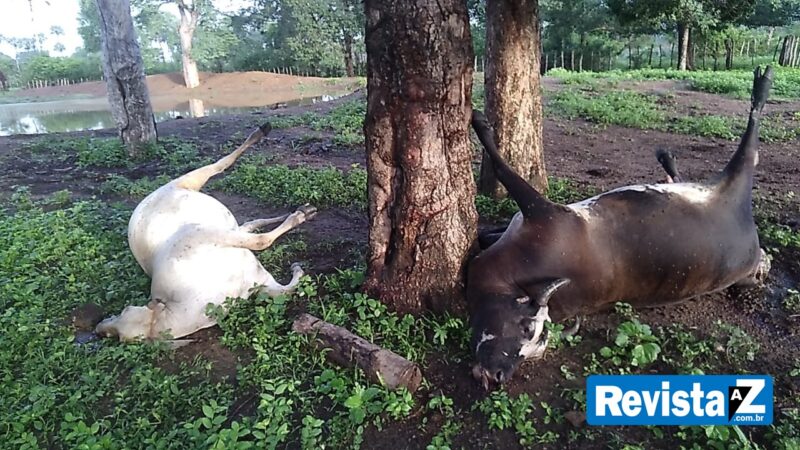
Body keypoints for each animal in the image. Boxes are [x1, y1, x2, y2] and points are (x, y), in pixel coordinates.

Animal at [96, 123, 316, 342]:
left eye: (124, 310)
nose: (99, 328)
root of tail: (141, 204)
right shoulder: (259, 280)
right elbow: (274, 264)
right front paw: (298, 261)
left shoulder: (202, 235)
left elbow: (263, 246)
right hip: (215, 216)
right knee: (248, 220)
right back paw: (298, 211)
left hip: (187, 183)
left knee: (220, 165)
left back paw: (261, 132)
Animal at [468, 65, 776, 388]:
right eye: (527, 328)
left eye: (532, 338)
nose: (498, 376)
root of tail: (752, 251)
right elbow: (487, 230)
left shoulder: (543, 211)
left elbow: (502, 167)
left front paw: (479, 121)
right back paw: (668, 163)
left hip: (739, 177)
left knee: (751, 143)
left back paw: (762, 86)